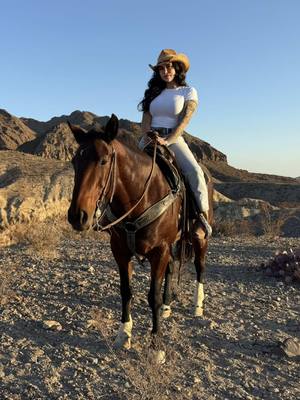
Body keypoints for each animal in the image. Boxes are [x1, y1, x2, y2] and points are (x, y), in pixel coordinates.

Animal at [68, 114, 213, 360]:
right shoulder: (120, 250)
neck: (142, 196)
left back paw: (197, 306)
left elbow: (152, 296)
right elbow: (126, 292)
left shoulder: (159, 250)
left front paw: (156, 347)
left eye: (104, 160)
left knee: (200, 266)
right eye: (73, 162)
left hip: (199, 236)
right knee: (172, 269)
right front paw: (123, 335)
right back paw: (167, 307)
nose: (78, 216)